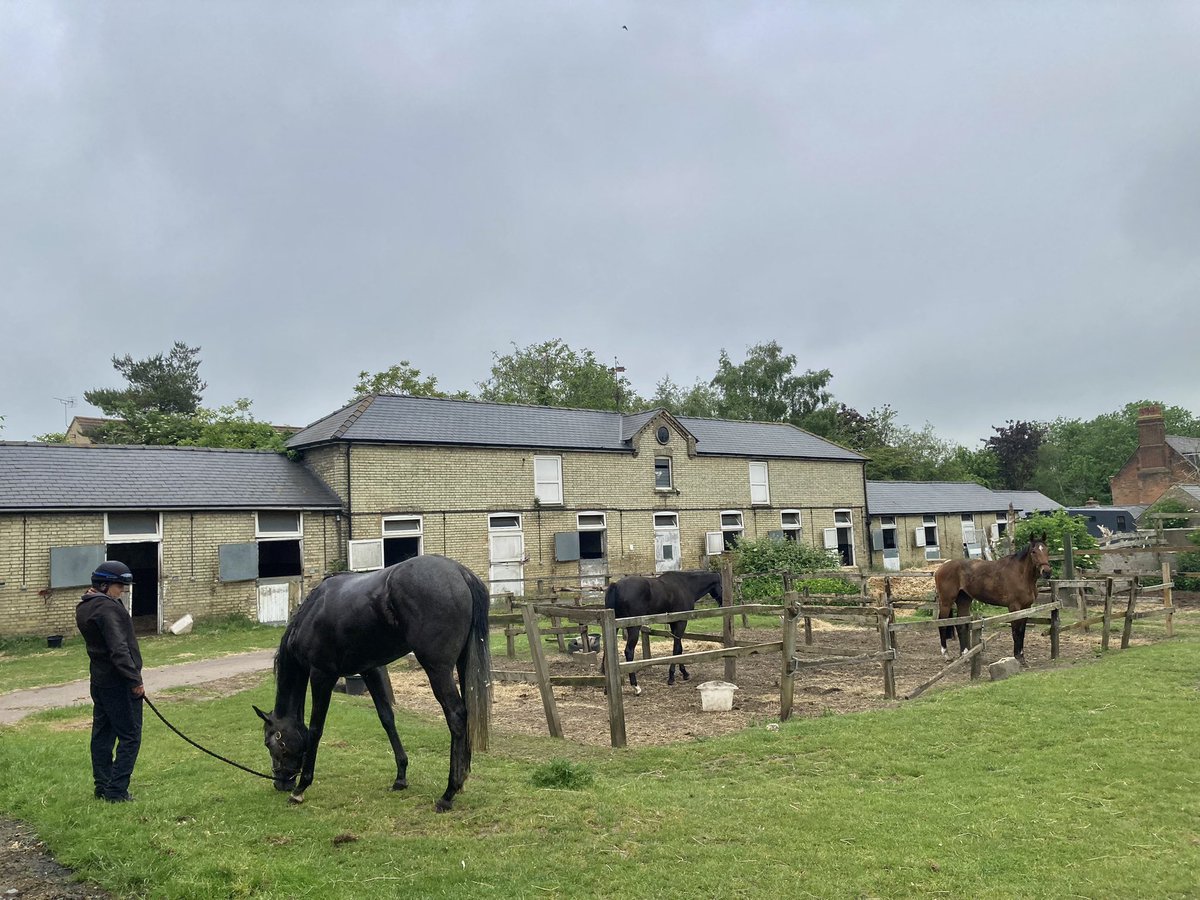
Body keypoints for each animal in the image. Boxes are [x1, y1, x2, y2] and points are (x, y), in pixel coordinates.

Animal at [253, 554, 492, 816]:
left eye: (269, 742)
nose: (280, 783)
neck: (312, 612)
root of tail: (459, 572)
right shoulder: (371, 670)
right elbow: (387, 718)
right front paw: (400, 777)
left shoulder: (321, 676)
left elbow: (316, 729)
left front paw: (301, 788)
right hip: (463, 663)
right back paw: (461, 779)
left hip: (437, 669)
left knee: (456, 716)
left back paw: (448, 793)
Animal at [936, 532, 1051, 667]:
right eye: (1033, 551)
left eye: (1046, 550)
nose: (1047, 572)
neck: (1021, 574)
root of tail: (941, 567)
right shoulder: (1014, 608)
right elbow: (1015, 632)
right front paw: (1017, 657)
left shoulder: (1026, 608)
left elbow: (1022, 632)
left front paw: (1022, 658)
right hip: (946, 602)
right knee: (942, 624)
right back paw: (947, 655)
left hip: (963, 600)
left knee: (961, 625)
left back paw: (965, 655)